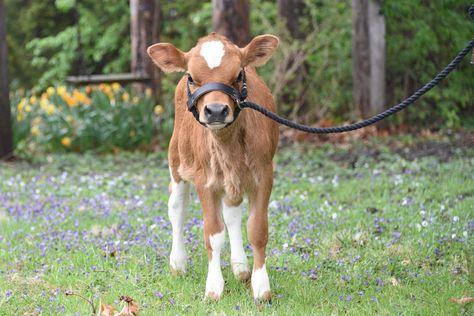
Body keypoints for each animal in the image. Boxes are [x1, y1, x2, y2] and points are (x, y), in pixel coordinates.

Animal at [148, 33, 280, 300]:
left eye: (239, 74)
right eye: (191, 76)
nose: (216, 110)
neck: (228, 145)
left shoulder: (264, 175)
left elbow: (257, 230)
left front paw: (261, 286)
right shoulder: (205, 181)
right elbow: (213, 234)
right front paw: (214, 287)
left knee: (232, 213)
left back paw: (241, 267)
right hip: (176, 161)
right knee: (177, 208)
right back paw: (178, 263)